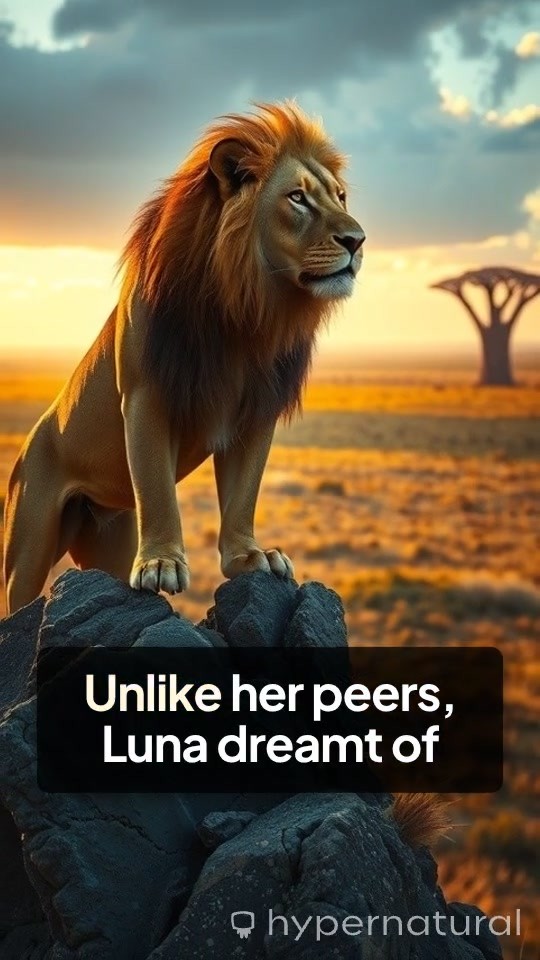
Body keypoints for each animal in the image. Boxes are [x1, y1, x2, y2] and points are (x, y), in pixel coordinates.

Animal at [4, 101, 365, 614]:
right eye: (297, 198)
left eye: (340, 197)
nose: (358, 240)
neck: (246, 310)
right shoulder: (146, 395)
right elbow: (157, 488)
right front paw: (160, 563)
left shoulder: (257, 409)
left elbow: (243, 494)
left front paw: (250, 557)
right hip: (29, 542)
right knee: (18, 598)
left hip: (108, 539)